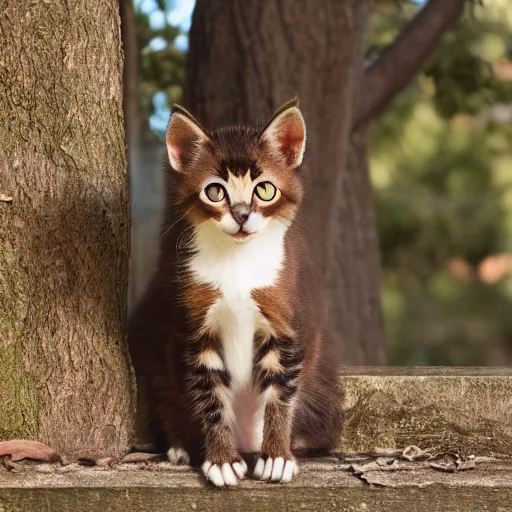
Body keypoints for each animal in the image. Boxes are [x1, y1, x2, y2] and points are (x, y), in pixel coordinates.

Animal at [130, 98, 342, 486]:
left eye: (264, 189)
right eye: (215, 191)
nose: (242, 215)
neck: (237, 261)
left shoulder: (287, 320)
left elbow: (280, 393)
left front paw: (277, 456)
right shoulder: (195, 325)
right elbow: (211, 396)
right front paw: (222, 460)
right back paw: (182, 446)